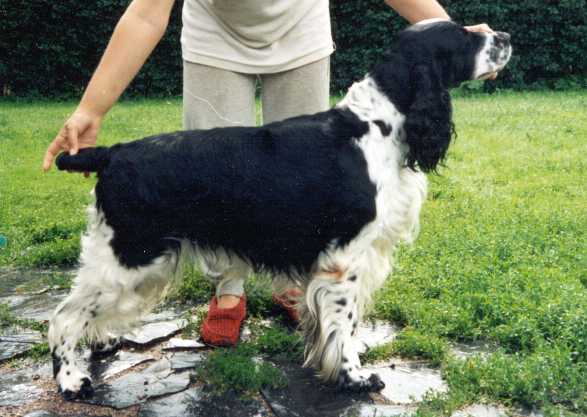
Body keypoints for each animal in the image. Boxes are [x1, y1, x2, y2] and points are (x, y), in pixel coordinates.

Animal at [49, 19, 510, 396]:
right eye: (464, 36)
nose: (504, 37)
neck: (377, 125)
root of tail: (113, 152)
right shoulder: (346, 256)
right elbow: (344, 322)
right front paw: (354, 376)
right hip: (128, 255)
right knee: (63, 317)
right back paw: (72, 380)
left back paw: (102, 343)